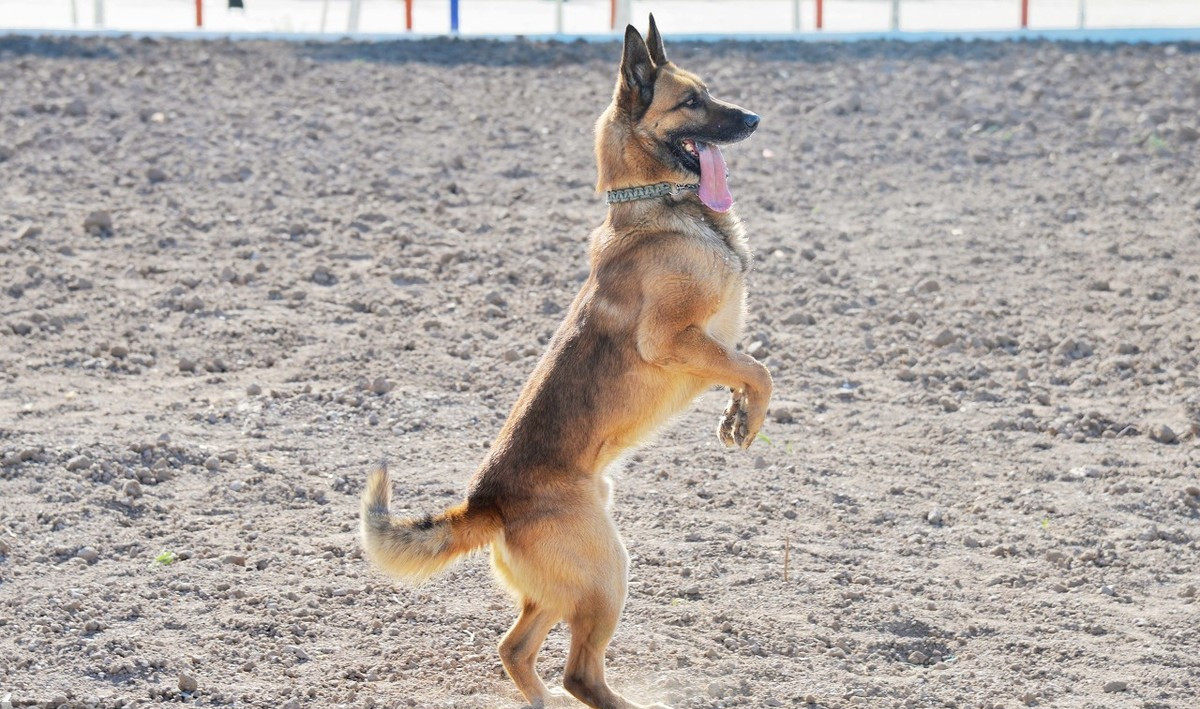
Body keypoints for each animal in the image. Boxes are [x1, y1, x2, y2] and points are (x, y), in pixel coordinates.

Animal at [357, 16, 768, 709]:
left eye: (709, 92)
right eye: (692, 102)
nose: (754, 118)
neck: (659, 205)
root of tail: (485, 503)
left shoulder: (717, 343)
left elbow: (746, 366)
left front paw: (738, 419)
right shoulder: (673, 340)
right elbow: (757, 369)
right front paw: (752, 417)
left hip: (569, 586)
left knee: (515, 650)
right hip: (607, 573)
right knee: (580, 673)